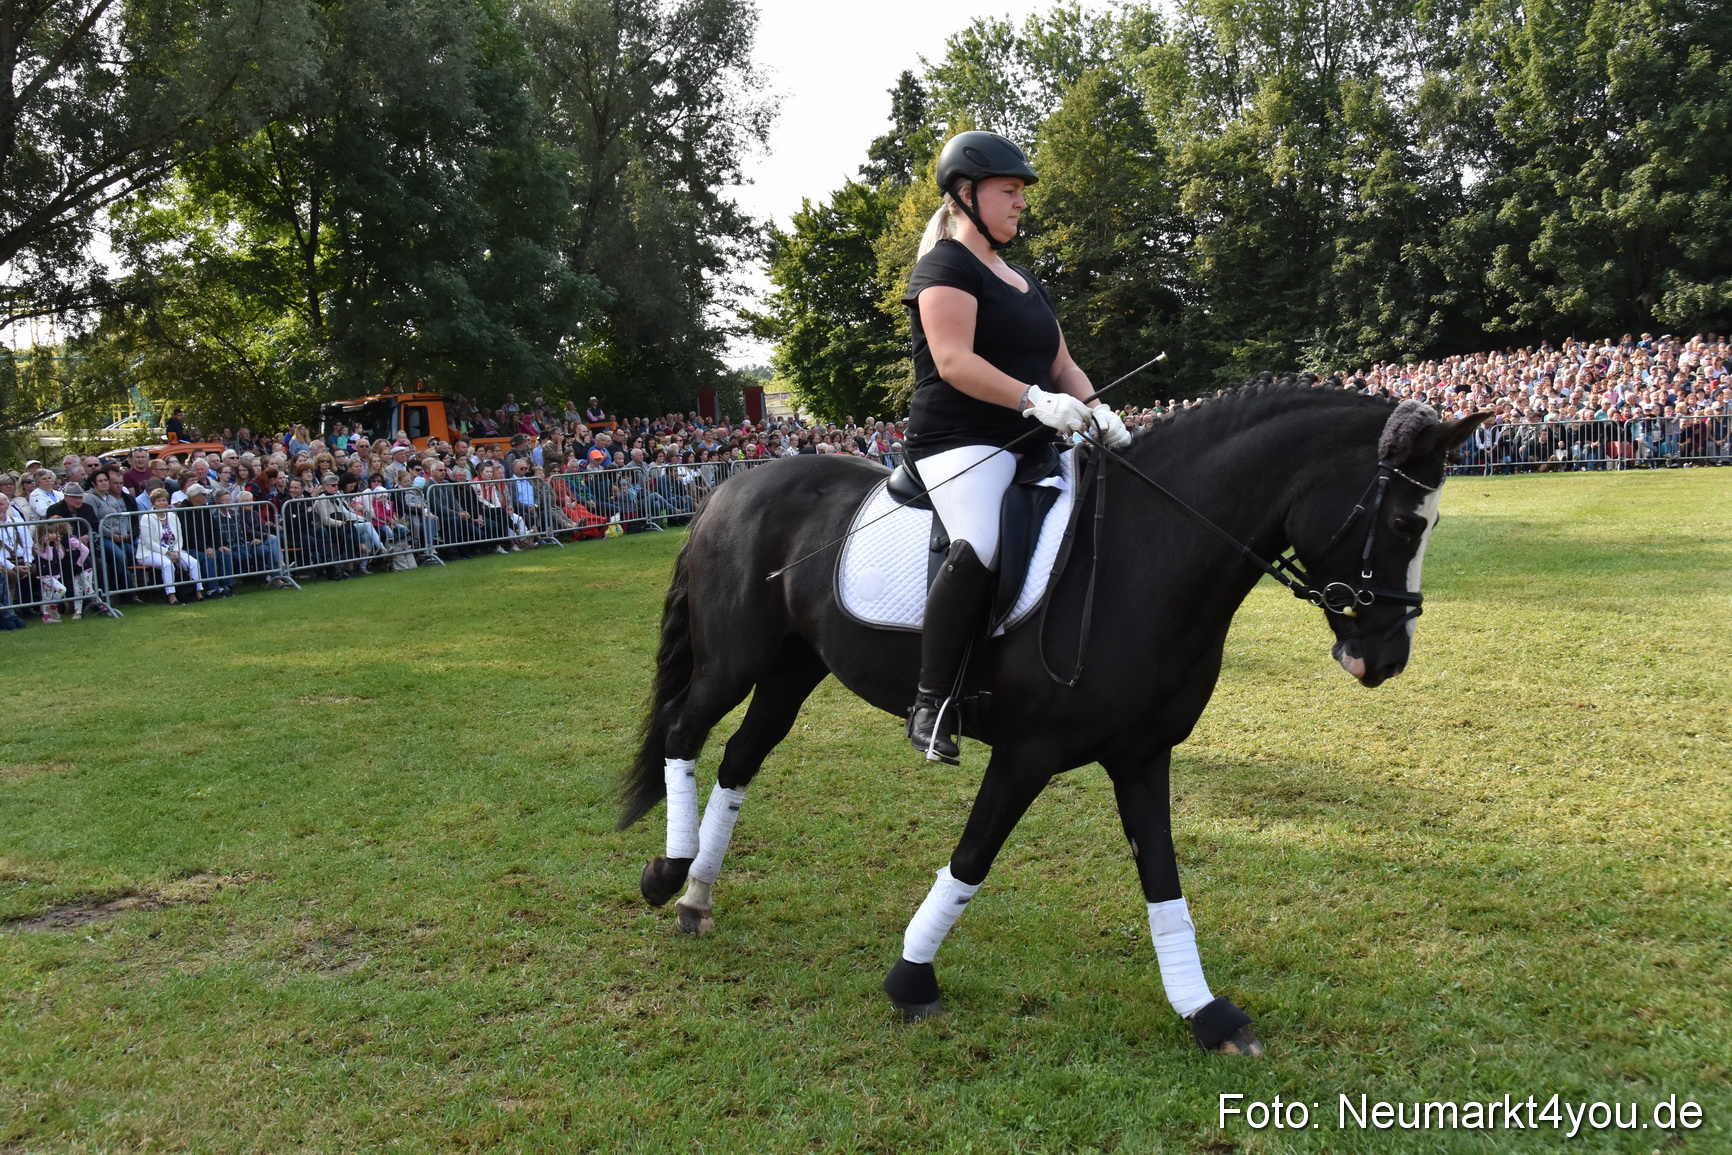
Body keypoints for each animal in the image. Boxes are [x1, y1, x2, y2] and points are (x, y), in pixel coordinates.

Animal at [617, 383, 1487, 1056]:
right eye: (1406, 523)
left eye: (1436, 525)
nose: (1387, 657)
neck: (1145, 551)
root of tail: (729, 489)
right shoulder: (1027, 753)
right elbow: (972, 857)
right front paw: (911, 977)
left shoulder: (1142, 756)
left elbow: (1164, 880)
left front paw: (1207, 1014)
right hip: (735, 660)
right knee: (683, 734)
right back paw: (666, 875)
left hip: (793, 670)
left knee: (740, 757)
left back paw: (697, 893)